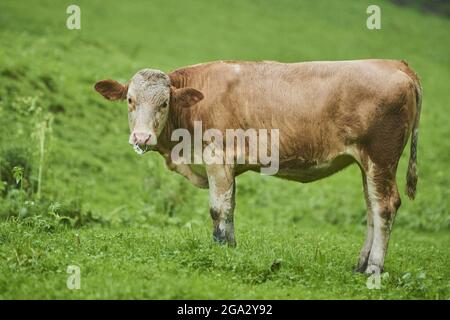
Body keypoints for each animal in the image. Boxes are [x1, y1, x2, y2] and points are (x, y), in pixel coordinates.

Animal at [94, 60, 422, 276]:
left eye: (164, 103)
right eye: (130, 99)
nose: (141, 138)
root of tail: (395, 64)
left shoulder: (216, 157)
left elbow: (218, 209)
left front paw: (219, 249)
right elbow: (230, 207)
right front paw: (231, 247)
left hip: (380, 157)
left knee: (384, 206)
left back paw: (374, 268)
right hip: (368, 164)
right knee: (372, 208)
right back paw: (360, 264)